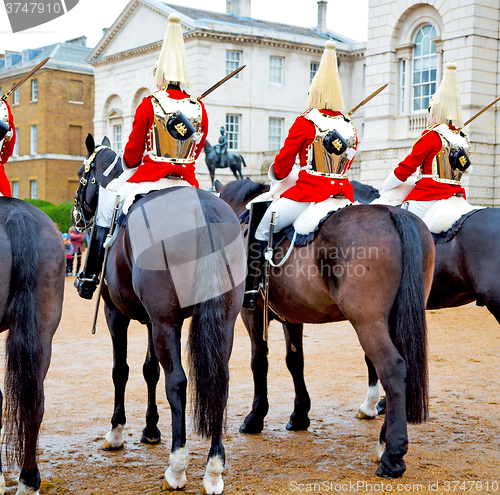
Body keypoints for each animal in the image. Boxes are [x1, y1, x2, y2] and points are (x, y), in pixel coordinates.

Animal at [72, 136, 246, 495]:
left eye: (83, 175)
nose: (75, 215)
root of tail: (204, 210)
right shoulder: (154, 320)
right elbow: (149, 370)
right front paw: (151, 429)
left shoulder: (118, 314)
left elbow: (121, 370)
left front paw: (117, 431)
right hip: (223, 322)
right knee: (220, 383)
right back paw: (214, 469)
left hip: (166, 323)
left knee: (177, 382)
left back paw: (177, 467)